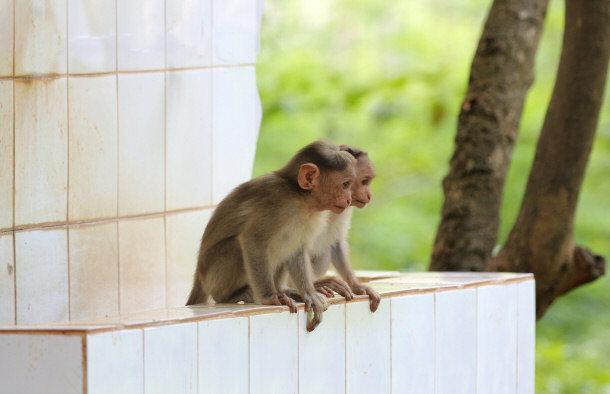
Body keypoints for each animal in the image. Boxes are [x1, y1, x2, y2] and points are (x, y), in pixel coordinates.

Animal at [185, 140, 356, 330]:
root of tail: (199, 276)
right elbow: (253, 240)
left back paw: (285, 290)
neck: (300, 196)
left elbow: (297, 249)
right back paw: (232, 296)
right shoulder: (277, 201)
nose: (349, 199)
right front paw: (269, 298)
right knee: (238, 247)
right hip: (213, 274)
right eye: (346, 184)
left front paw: (308, 294)